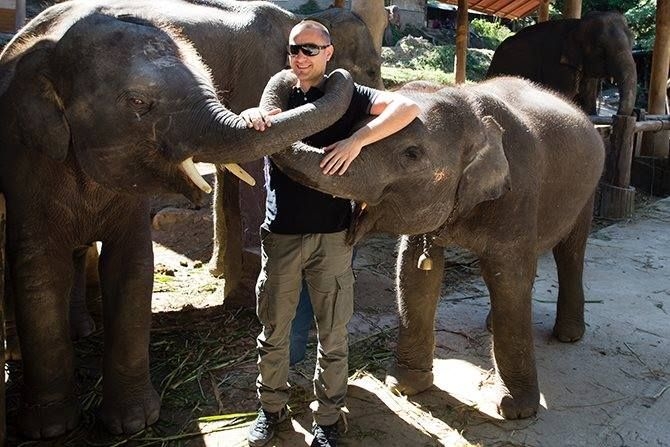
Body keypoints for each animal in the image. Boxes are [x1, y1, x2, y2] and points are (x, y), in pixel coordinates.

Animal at [0, 4, 356, 440]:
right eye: (137, 101)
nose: (333, 71)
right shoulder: (25, 165)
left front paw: (132, 423)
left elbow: (133, 267)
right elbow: (37, 271)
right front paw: (49, 430)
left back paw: (80, 330)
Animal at [268, 75, 608, 422]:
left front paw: (516, 410)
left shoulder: (517, 194)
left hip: (589, 188)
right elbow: (414, 273)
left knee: (571, 251)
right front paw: (404, 386)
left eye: (412, 154)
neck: (471, 107)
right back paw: (492, 324)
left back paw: (569, 335)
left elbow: (509, 279)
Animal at [486, 11, 636, 117]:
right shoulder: (555, 62)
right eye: (600, 48)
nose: (616, 116)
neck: (577, 24)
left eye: (632, 42)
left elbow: (588, 99)